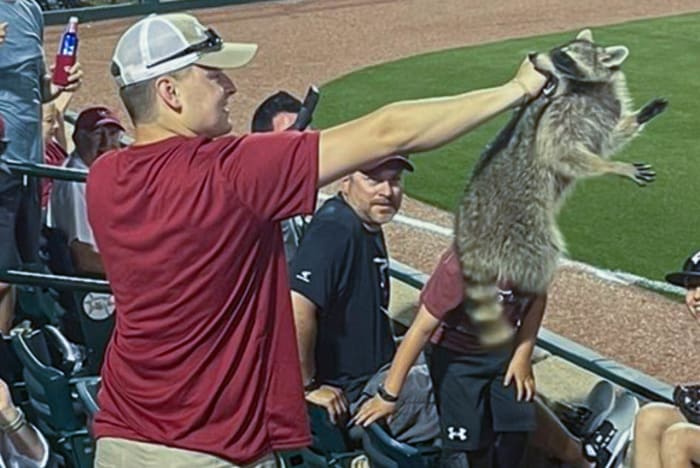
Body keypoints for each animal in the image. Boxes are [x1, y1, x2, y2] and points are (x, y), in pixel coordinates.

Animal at [456, 29, 668, 345]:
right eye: (558, 49)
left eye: (562, 57)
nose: (532, 56)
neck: (588, 88)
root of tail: (467, 237)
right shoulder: (560, 113)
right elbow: (560, 152)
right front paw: (615, 167)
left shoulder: (597, 110)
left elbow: (608, 138)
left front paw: (640, 115)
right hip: (522, 226)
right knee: (541, 253)